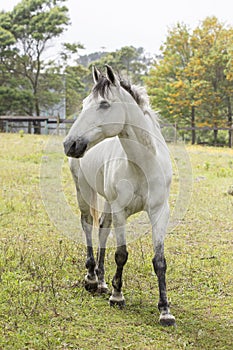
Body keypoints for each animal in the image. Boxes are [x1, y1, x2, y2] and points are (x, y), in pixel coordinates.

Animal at [62, 65, 176, 326]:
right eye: (84, 103)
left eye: (104, 104)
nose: (70, 144)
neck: (143, 164)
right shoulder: (120, 210)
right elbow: (122, 254)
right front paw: (117, 296)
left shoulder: (160, 212)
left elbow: (159, 261)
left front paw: (165, 310)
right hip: (84, 190)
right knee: (88, 225)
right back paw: (92, 278)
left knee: (103, 228)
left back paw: (102, 281)